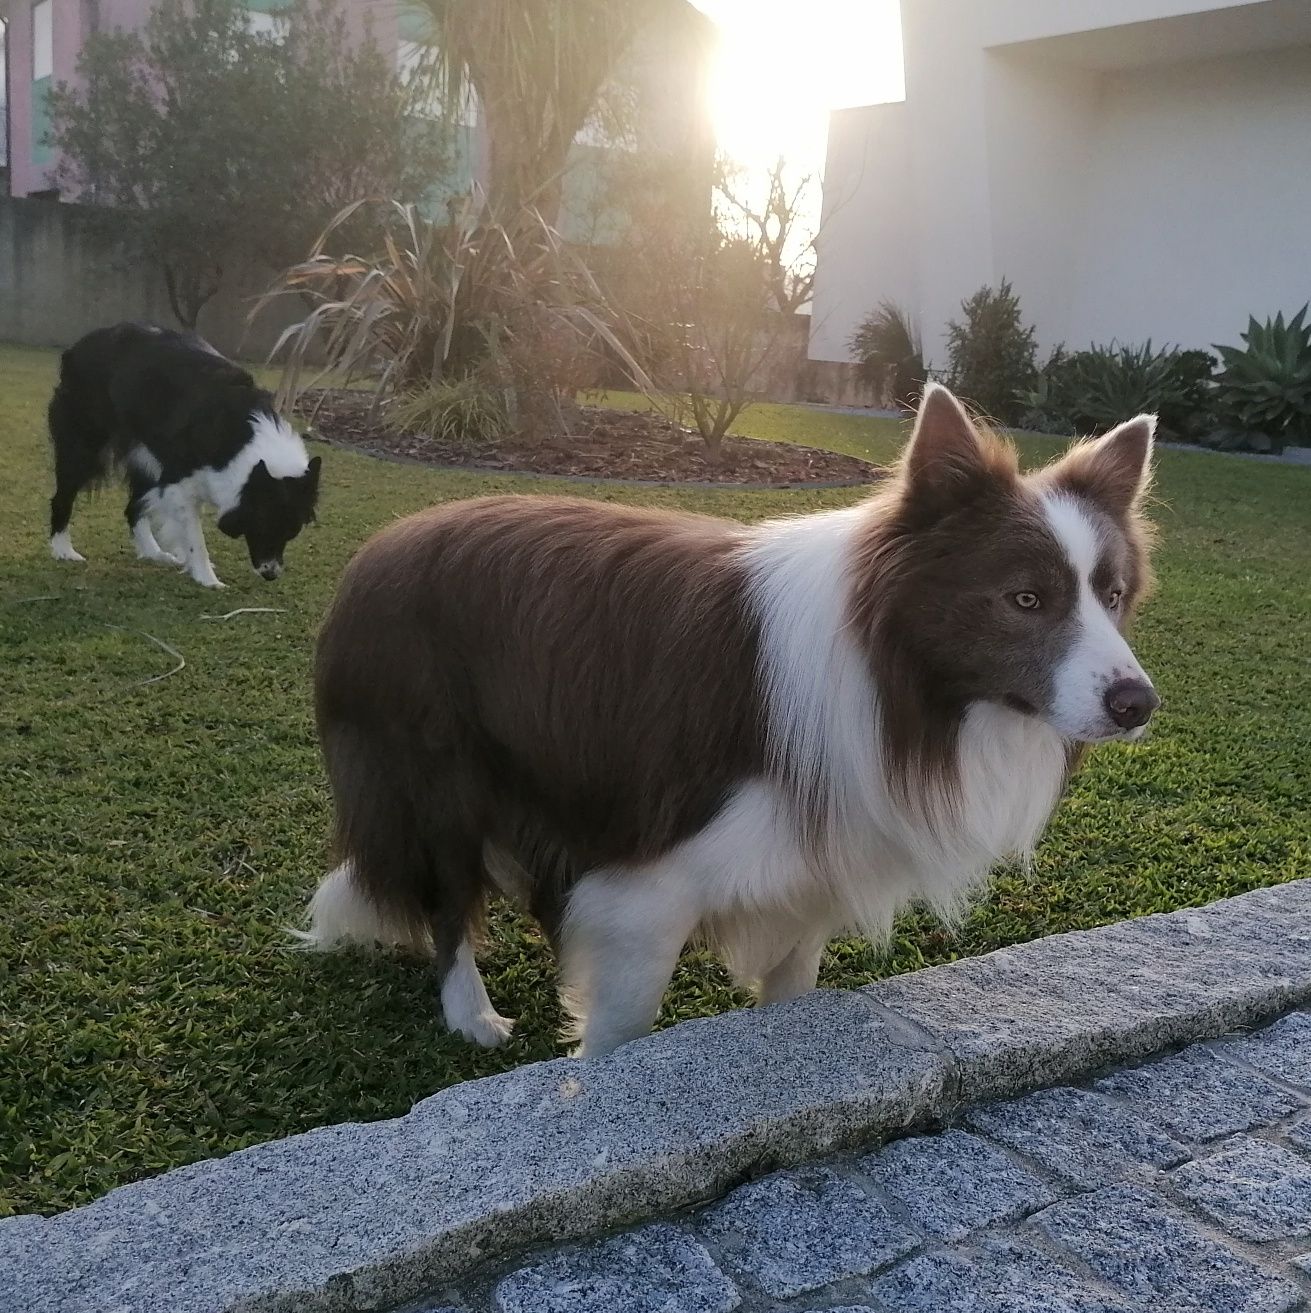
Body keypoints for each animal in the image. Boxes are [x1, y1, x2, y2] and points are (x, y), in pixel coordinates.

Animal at [49, 320, 321, 588]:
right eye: (263, 524)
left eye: (292, 531)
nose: (271, 574)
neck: (241, 437)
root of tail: (77, 346)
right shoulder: (178, 484)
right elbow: (195, 539)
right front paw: (207, 578)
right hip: (83, 448)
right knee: (62, 498)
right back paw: (63, 550)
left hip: (146, 459)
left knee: (133, 507)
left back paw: (153, 552)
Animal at [304, 386, 1161, 1055]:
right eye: (1026, 598)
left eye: (1112, 594)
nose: (1137, 702)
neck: (892, 680)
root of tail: (378, 550)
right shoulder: (648, 886)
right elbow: (622, 1027)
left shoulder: (811, 869)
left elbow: (790, 992)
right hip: (435, 777)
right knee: (447, 900)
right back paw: (471, 1013)